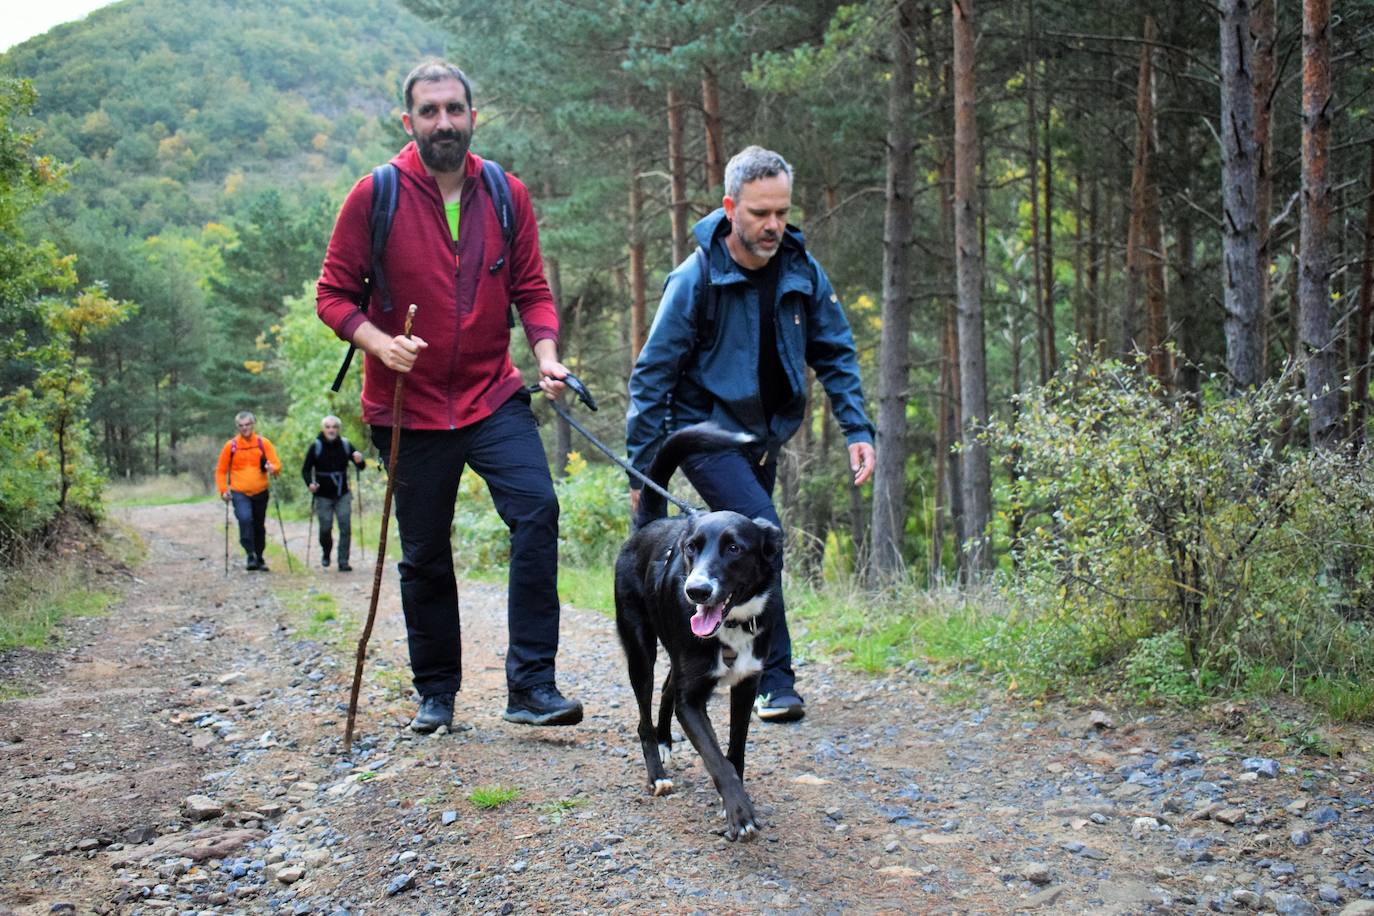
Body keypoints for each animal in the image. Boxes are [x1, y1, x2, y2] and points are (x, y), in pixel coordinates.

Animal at [615, 425, 785, 840]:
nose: (696, 591)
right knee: (644, 714)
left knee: (665, 689)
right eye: (691, 548)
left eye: (735, 548)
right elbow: (716, 758)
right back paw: (656, 771)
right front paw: (739, 813)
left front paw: (733, 801)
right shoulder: (691, 701)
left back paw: (664, 740)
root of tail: (647, 526)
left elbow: (734, 750)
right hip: (641, 651)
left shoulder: (747, 683)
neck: (733, 625)